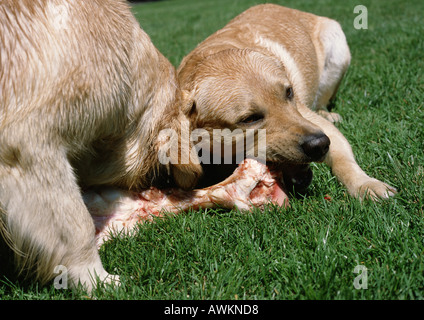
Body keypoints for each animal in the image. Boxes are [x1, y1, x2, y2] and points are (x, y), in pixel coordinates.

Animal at [177, 4, 396, 200]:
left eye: (289, 93)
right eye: (250, 119)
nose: (320, 144)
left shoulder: (320, 126)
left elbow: (344, 161)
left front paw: (366, 184)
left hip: (337, 50)